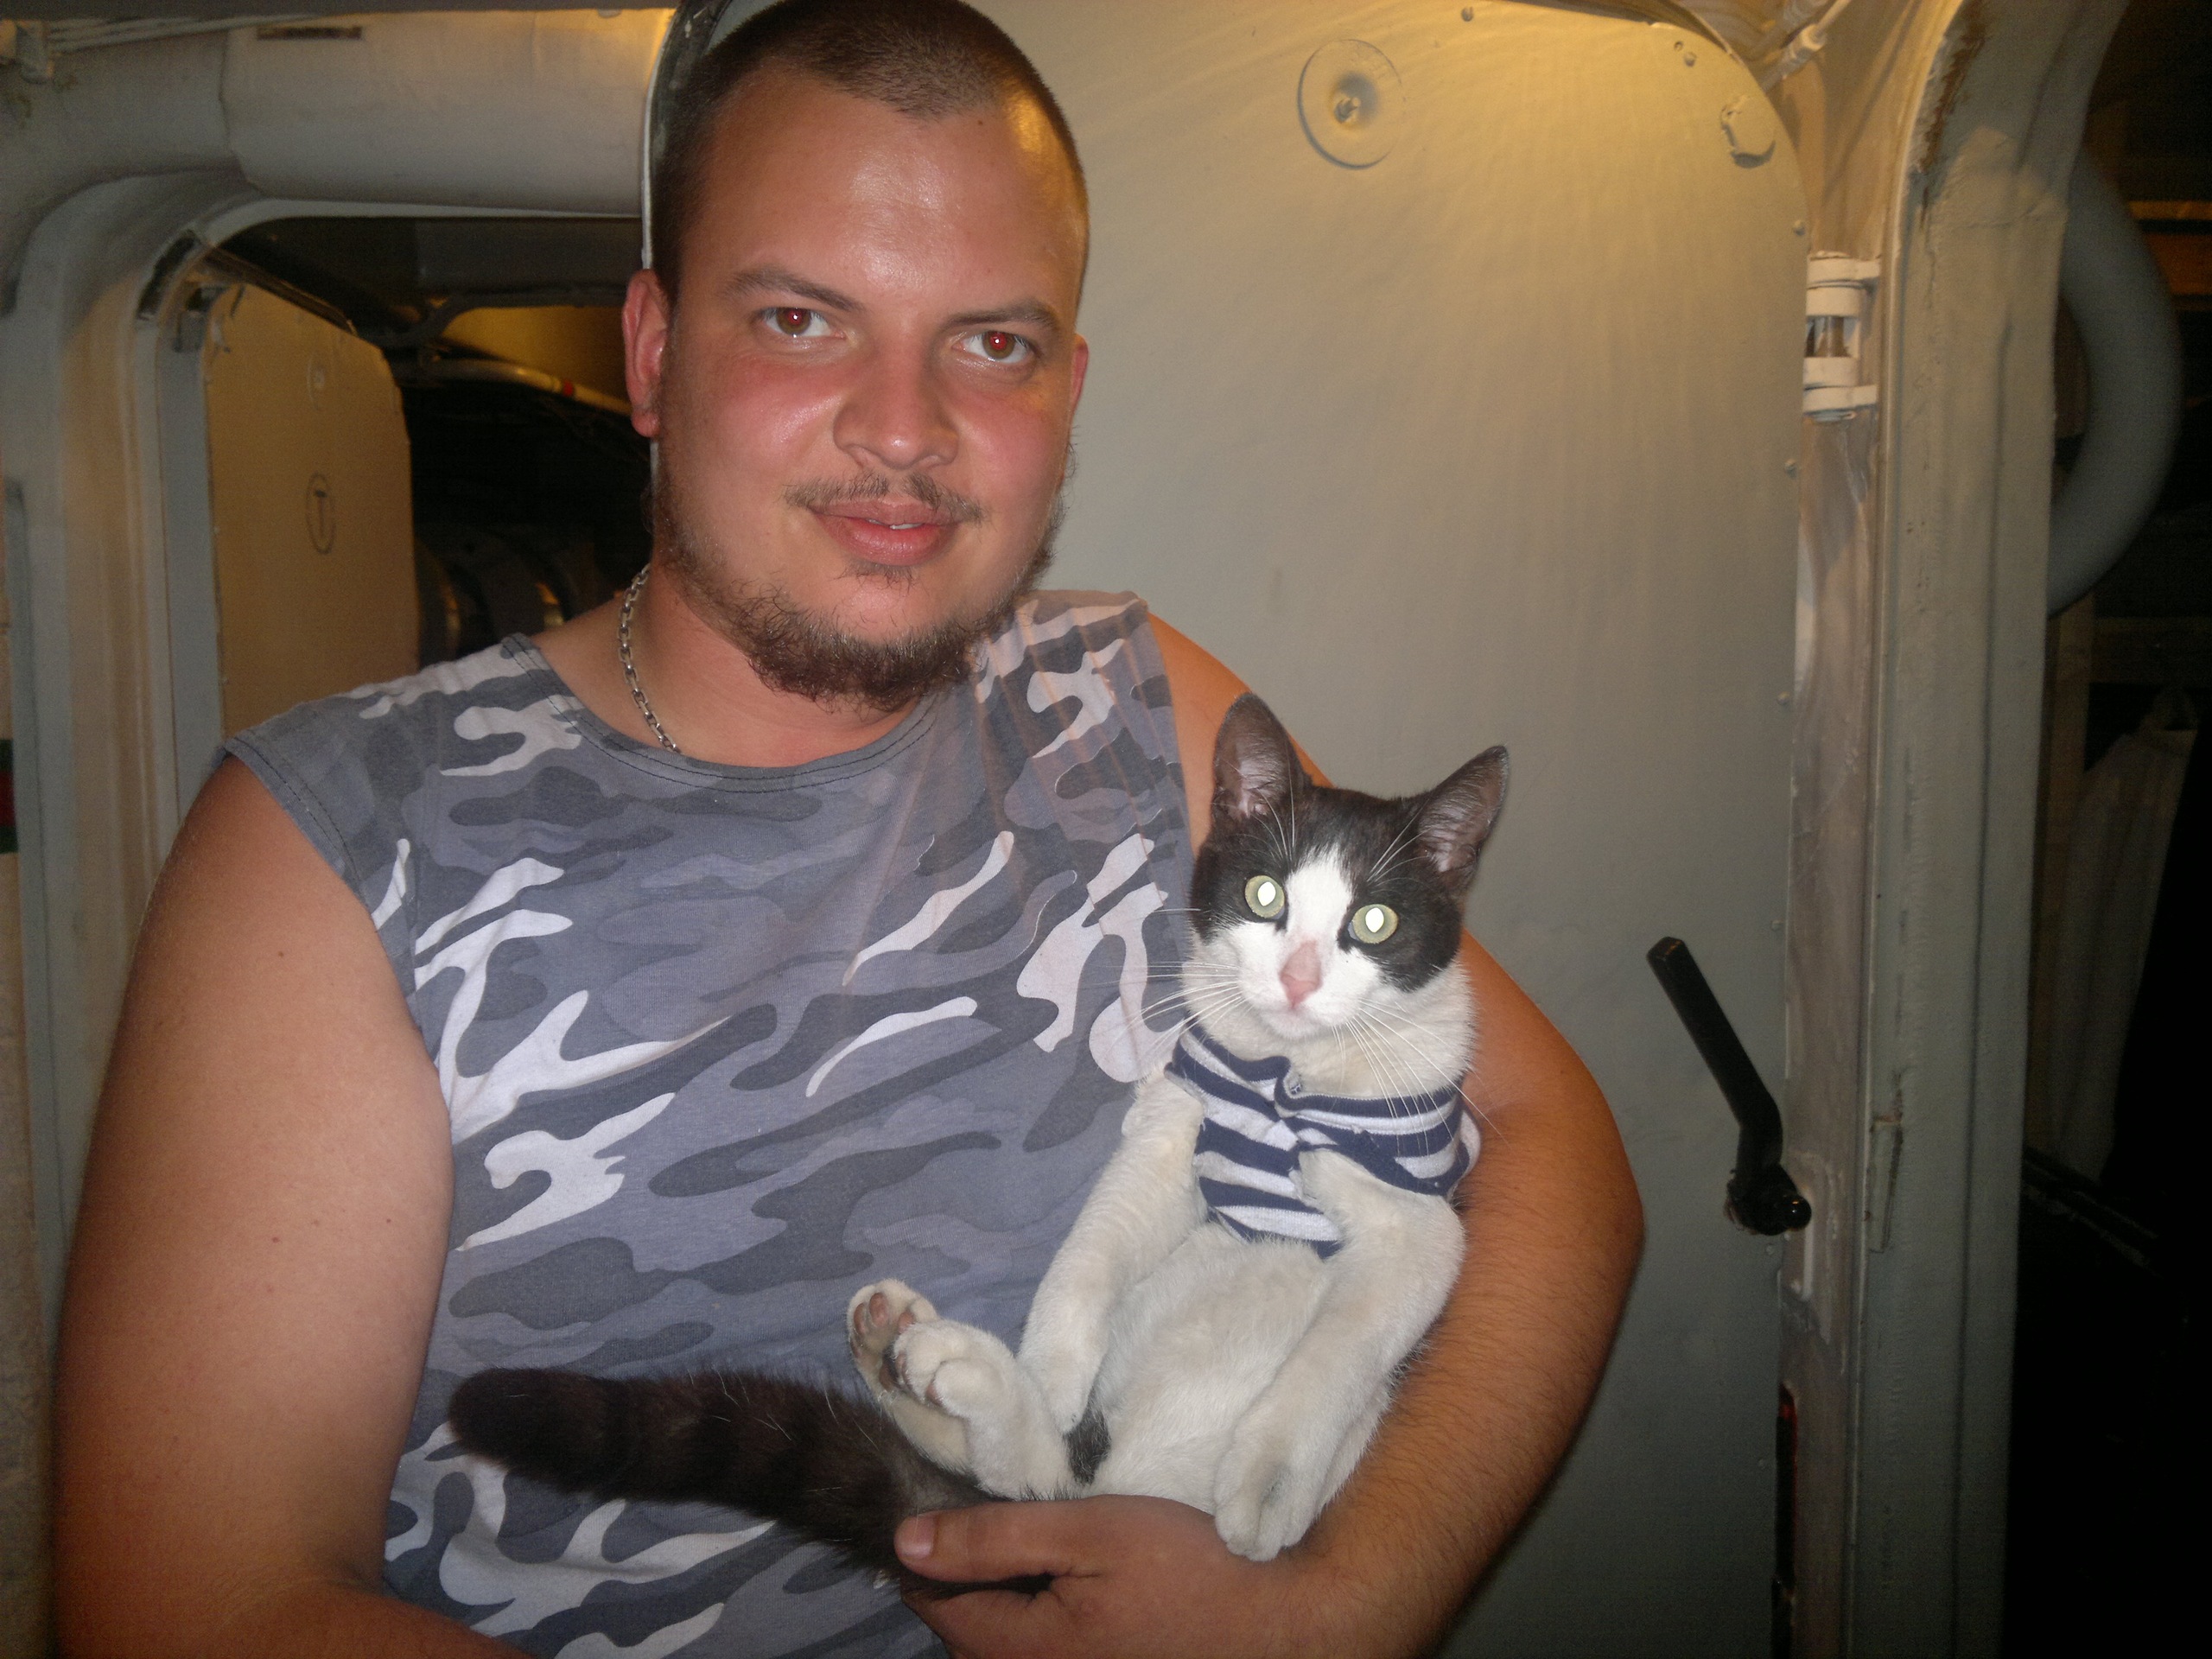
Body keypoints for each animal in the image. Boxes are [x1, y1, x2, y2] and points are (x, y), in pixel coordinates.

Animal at [449, 693, 1508, 1580]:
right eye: (1263, 897)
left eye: (1375, 922)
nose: (1294, 981)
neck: (1286, 1079)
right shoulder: (1171, 1130)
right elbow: (1094, 1247)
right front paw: (1051, 1369)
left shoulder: (1421, 1226)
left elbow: (1343, 1349)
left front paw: (1269, 1483)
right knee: (1032, 1484)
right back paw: (933, 1366)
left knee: (1053, 1489)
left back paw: (952, 1373)